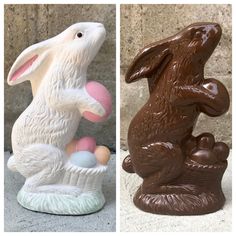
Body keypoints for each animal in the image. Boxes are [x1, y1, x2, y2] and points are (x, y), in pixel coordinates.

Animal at [6, 22, 110, 192]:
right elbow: (69, 97)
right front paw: (99, 109)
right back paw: (66, 190)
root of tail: (19, 164)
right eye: (79, 35)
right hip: (50, 158)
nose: (100, 26)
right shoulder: (57, 87)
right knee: (30, 186)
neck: (68, 60)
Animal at [122, 22, 230, 195]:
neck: (185, 62)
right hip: (168, 153)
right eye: (195, 33)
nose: (216, 26)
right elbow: (192, 92)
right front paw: (216, 98)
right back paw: (186, 188)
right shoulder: (177, 90)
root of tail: (135, 164)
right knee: (149, 187)